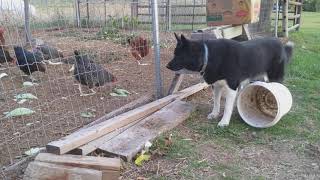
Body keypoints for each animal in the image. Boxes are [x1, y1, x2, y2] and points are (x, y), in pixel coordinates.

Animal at [166, 33, 294, 126]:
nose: (167, 66)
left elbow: (227, 107)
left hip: (274, 77)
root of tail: (280, 43)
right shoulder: (216, 86)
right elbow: (216, 102)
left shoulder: (232, 87)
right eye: (174, 54)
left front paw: (224, 122)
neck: (209, 56)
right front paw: (214, 114)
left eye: (179, 55)